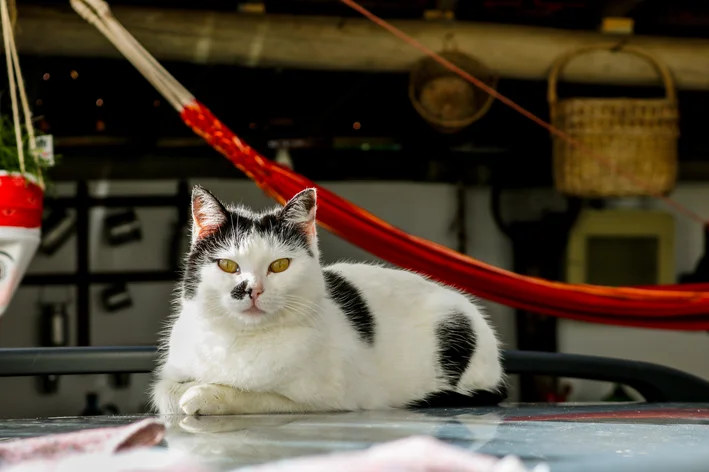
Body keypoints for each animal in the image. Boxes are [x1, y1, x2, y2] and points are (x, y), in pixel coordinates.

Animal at [151, 186, 504, 414]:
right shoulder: (171, 373)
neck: (239, 340)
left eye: (279, 265)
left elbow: (253, 395)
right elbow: (164, 391)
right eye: (227, 265)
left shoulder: (329, 398)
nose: (252, 290)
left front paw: (204, 395)